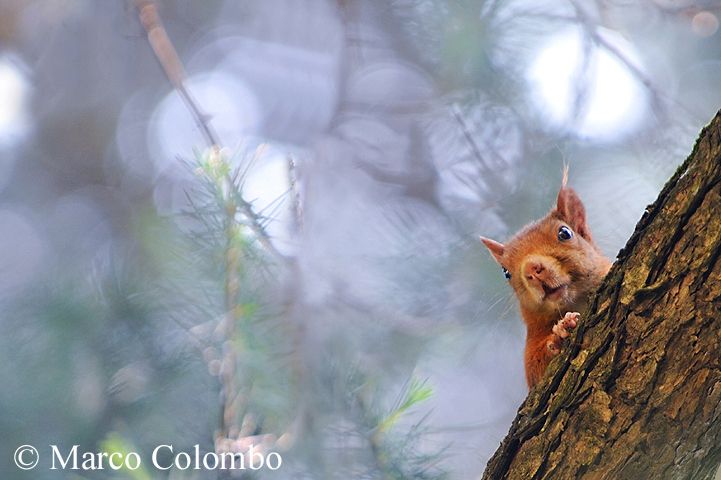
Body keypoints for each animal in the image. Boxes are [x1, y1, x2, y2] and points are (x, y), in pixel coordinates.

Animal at [480, 171, 612, 388]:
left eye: (565, 233)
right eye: (506, 272)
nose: (532, 270)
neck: (575, 303)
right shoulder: (532, 341)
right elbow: (535, 370)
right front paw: (560, 332)